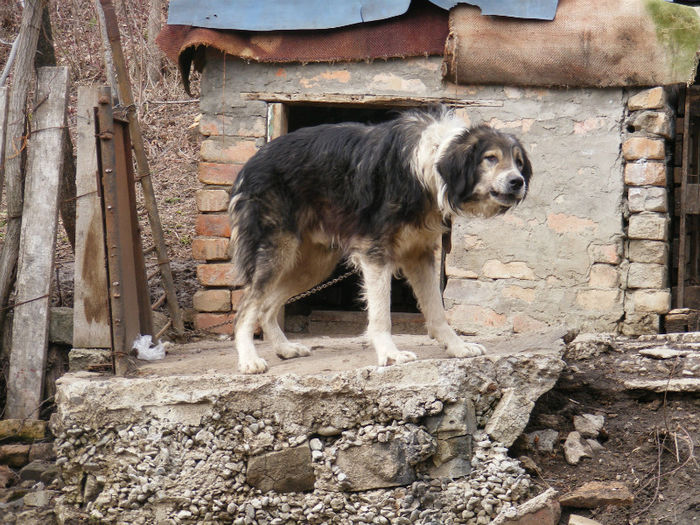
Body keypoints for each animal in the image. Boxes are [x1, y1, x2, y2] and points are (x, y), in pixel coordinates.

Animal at [230, 107, 532, 372]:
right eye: (490, 158)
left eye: (518, 162)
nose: (518, 182)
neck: (430, 164)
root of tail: (250, 163)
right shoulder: (375, 253)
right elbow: (381, 314)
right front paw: (390, 354)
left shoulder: (419, 255)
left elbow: (437, 311)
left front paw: (457, 347)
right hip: (277, 252)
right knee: (245, 309)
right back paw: (249, 361)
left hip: (312, 266)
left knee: (266, 307)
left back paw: (284, 348)